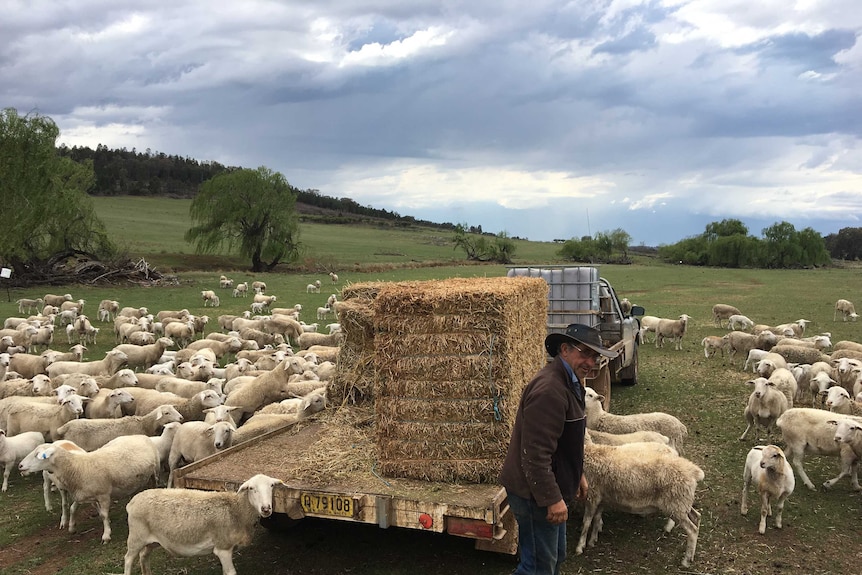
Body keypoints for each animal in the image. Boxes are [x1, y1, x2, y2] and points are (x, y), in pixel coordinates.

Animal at [18, 434, 160, 544]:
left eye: (37, 455)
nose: (20, 466)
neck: (78, 466)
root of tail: (139, 435)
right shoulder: (85, 495)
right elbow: (76, 508)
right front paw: (72, 528)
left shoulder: (103, 494)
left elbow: (103, 515)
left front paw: (106, 535)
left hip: (155, 470)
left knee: (156, 483)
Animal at [123, 472, 284, 575]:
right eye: (251, 488)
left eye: (271, 486)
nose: (266, 509)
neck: (236, 509)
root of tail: (132, 502)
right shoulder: (223, 548)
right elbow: (231, 572)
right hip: (135, 537)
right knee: (129, 559)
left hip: (152, 540)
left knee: (144, 555)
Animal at [576, 444, 704, 568]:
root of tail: (694, 471)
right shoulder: (600, 497)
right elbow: (597, 518)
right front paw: (593, 540)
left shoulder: (592, 494)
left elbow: (586, 522)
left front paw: (580, 547)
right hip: (681, 502)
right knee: (696, 516)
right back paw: (691, 554)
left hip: (676, 504)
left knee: (692, 530)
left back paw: (686, 561)